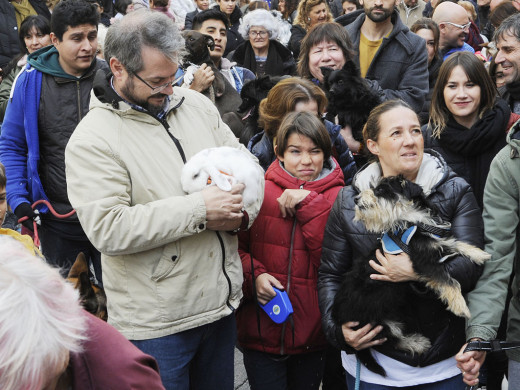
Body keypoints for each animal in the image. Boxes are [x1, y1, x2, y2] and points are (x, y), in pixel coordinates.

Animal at [332, 175, 490, 376]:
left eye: (381, 190)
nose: (356, 199)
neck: (413, 221)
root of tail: (339, 318)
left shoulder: (434, 243)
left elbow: (456, 243)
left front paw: (479, 253)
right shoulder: (422, 262)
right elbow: (449, 281)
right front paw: (460, 306)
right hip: (375, 323)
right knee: (391, 339)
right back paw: (417, 342)